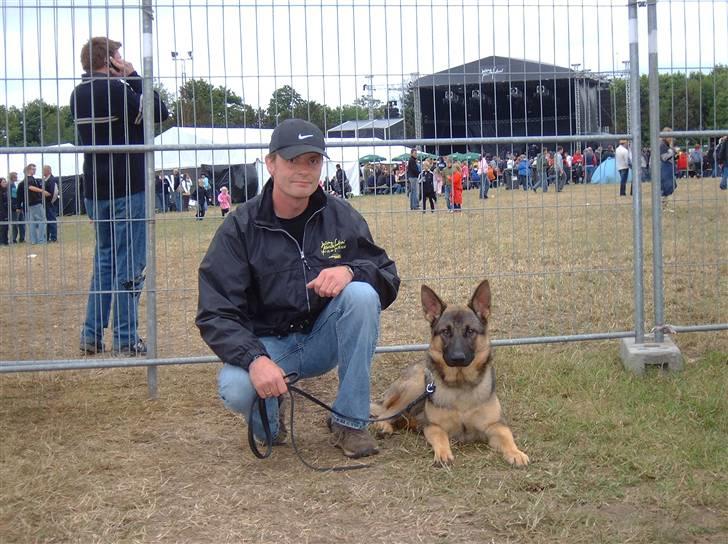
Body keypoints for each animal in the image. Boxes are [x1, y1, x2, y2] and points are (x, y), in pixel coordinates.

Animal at [372, 282, 528, 466]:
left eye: (470, 331)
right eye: (446, 332)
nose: (457, 358)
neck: (460, 384)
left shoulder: (496, 425)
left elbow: (507, 437)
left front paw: (516, 453)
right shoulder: (434, 427)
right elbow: (441, 437)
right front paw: (443, 454)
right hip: (414, 389)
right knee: (384, 414)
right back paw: (384, 426)